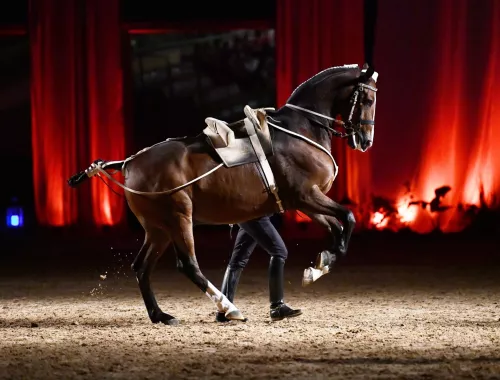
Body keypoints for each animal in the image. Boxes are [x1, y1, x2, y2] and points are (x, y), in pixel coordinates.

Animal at [68, 62, 376, 324]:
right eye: (368, 100)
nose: (365, 141)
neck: (300, 129)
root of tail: (130, 162)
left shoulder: (305, 202)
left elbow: (337, 227)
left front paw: (319, 266)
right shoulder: (306, 196)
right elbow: (348, 219)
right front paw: (323, 263)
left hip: (158, 228)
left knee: (141, 266)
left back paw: (161, 315)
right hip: (178, 218)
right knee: (188, 265)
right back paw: (229, 308)